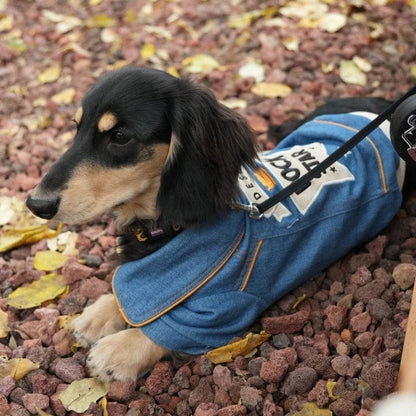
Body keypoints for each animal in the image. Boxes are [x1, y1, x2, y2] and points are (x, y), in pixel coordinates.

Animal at [27, 67, 404, 380]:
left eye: (119, 136)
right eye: (76, 128)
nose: (35, 203)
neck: (168, 228)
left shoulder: (229, 305)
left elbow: (170, 327)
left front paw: (121, 349)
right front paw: (104, 310)